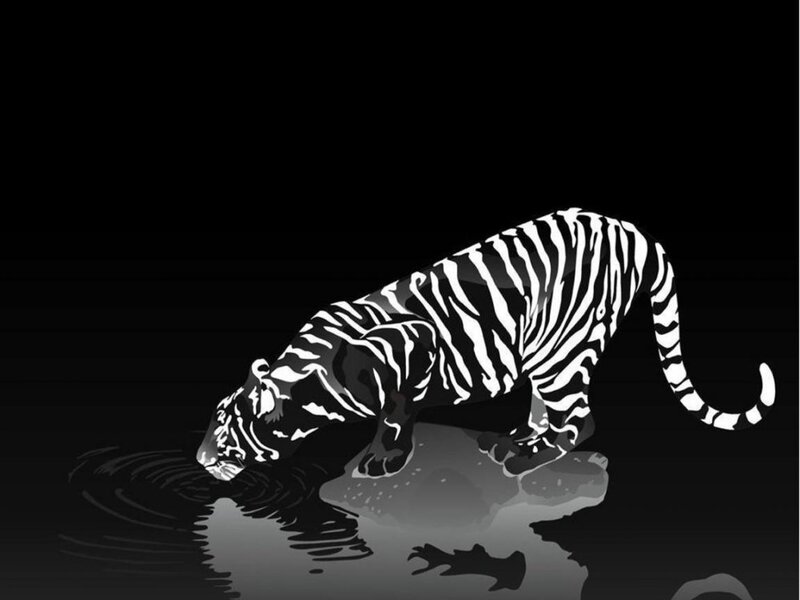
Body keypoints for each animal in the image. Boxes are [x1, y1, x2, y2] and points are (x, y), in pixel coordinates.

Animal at [196, 208, 776, 481]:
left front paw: (383, 459)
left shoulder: (414, 346)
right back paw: (512, 439)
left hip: (561, 354)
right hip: (545, 353)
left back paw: (523, 458)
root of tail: (630, 229)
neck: (308, 378)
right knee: (550, 410)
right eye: (214, 417)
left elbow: (396, 412)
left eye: (226, 431)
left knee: (581, 420)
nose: (200, 460)